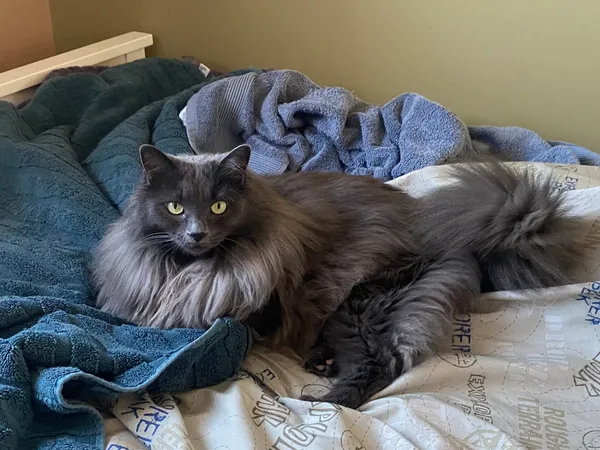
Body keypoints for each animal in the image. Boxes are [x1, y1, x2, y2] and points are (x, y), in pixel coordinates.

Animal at [91, 143, 580, 408]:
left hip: (354, 303)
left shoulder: (257, 310)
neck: (193, 270)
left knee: (380, 363)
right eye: (175, 207)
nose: (196, 233)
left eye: (218, 207)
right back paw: (319, 364)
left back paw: (318, 401)